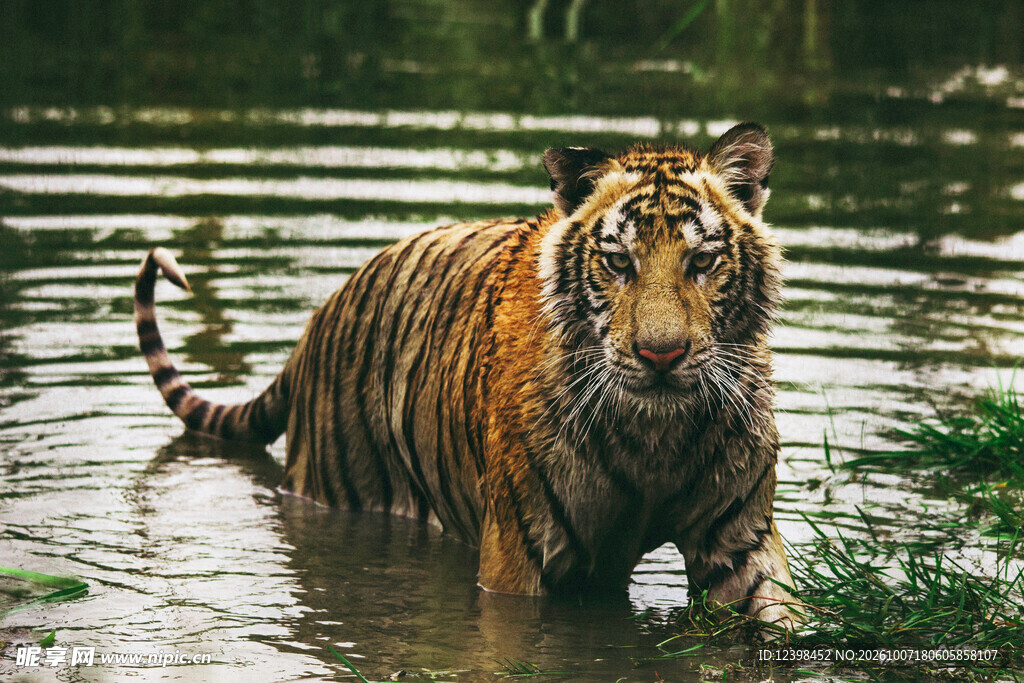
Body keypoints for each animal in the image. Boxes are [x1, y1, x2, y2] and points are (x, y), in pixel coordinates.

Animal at [135, 122, 801, 628]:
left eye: (702, 260)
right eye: (618, 262)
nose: (661, 355)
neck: (655, 438)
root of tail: (318, 319)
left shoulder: (740, 541)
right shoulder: (519, 555)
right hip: (336, 488)